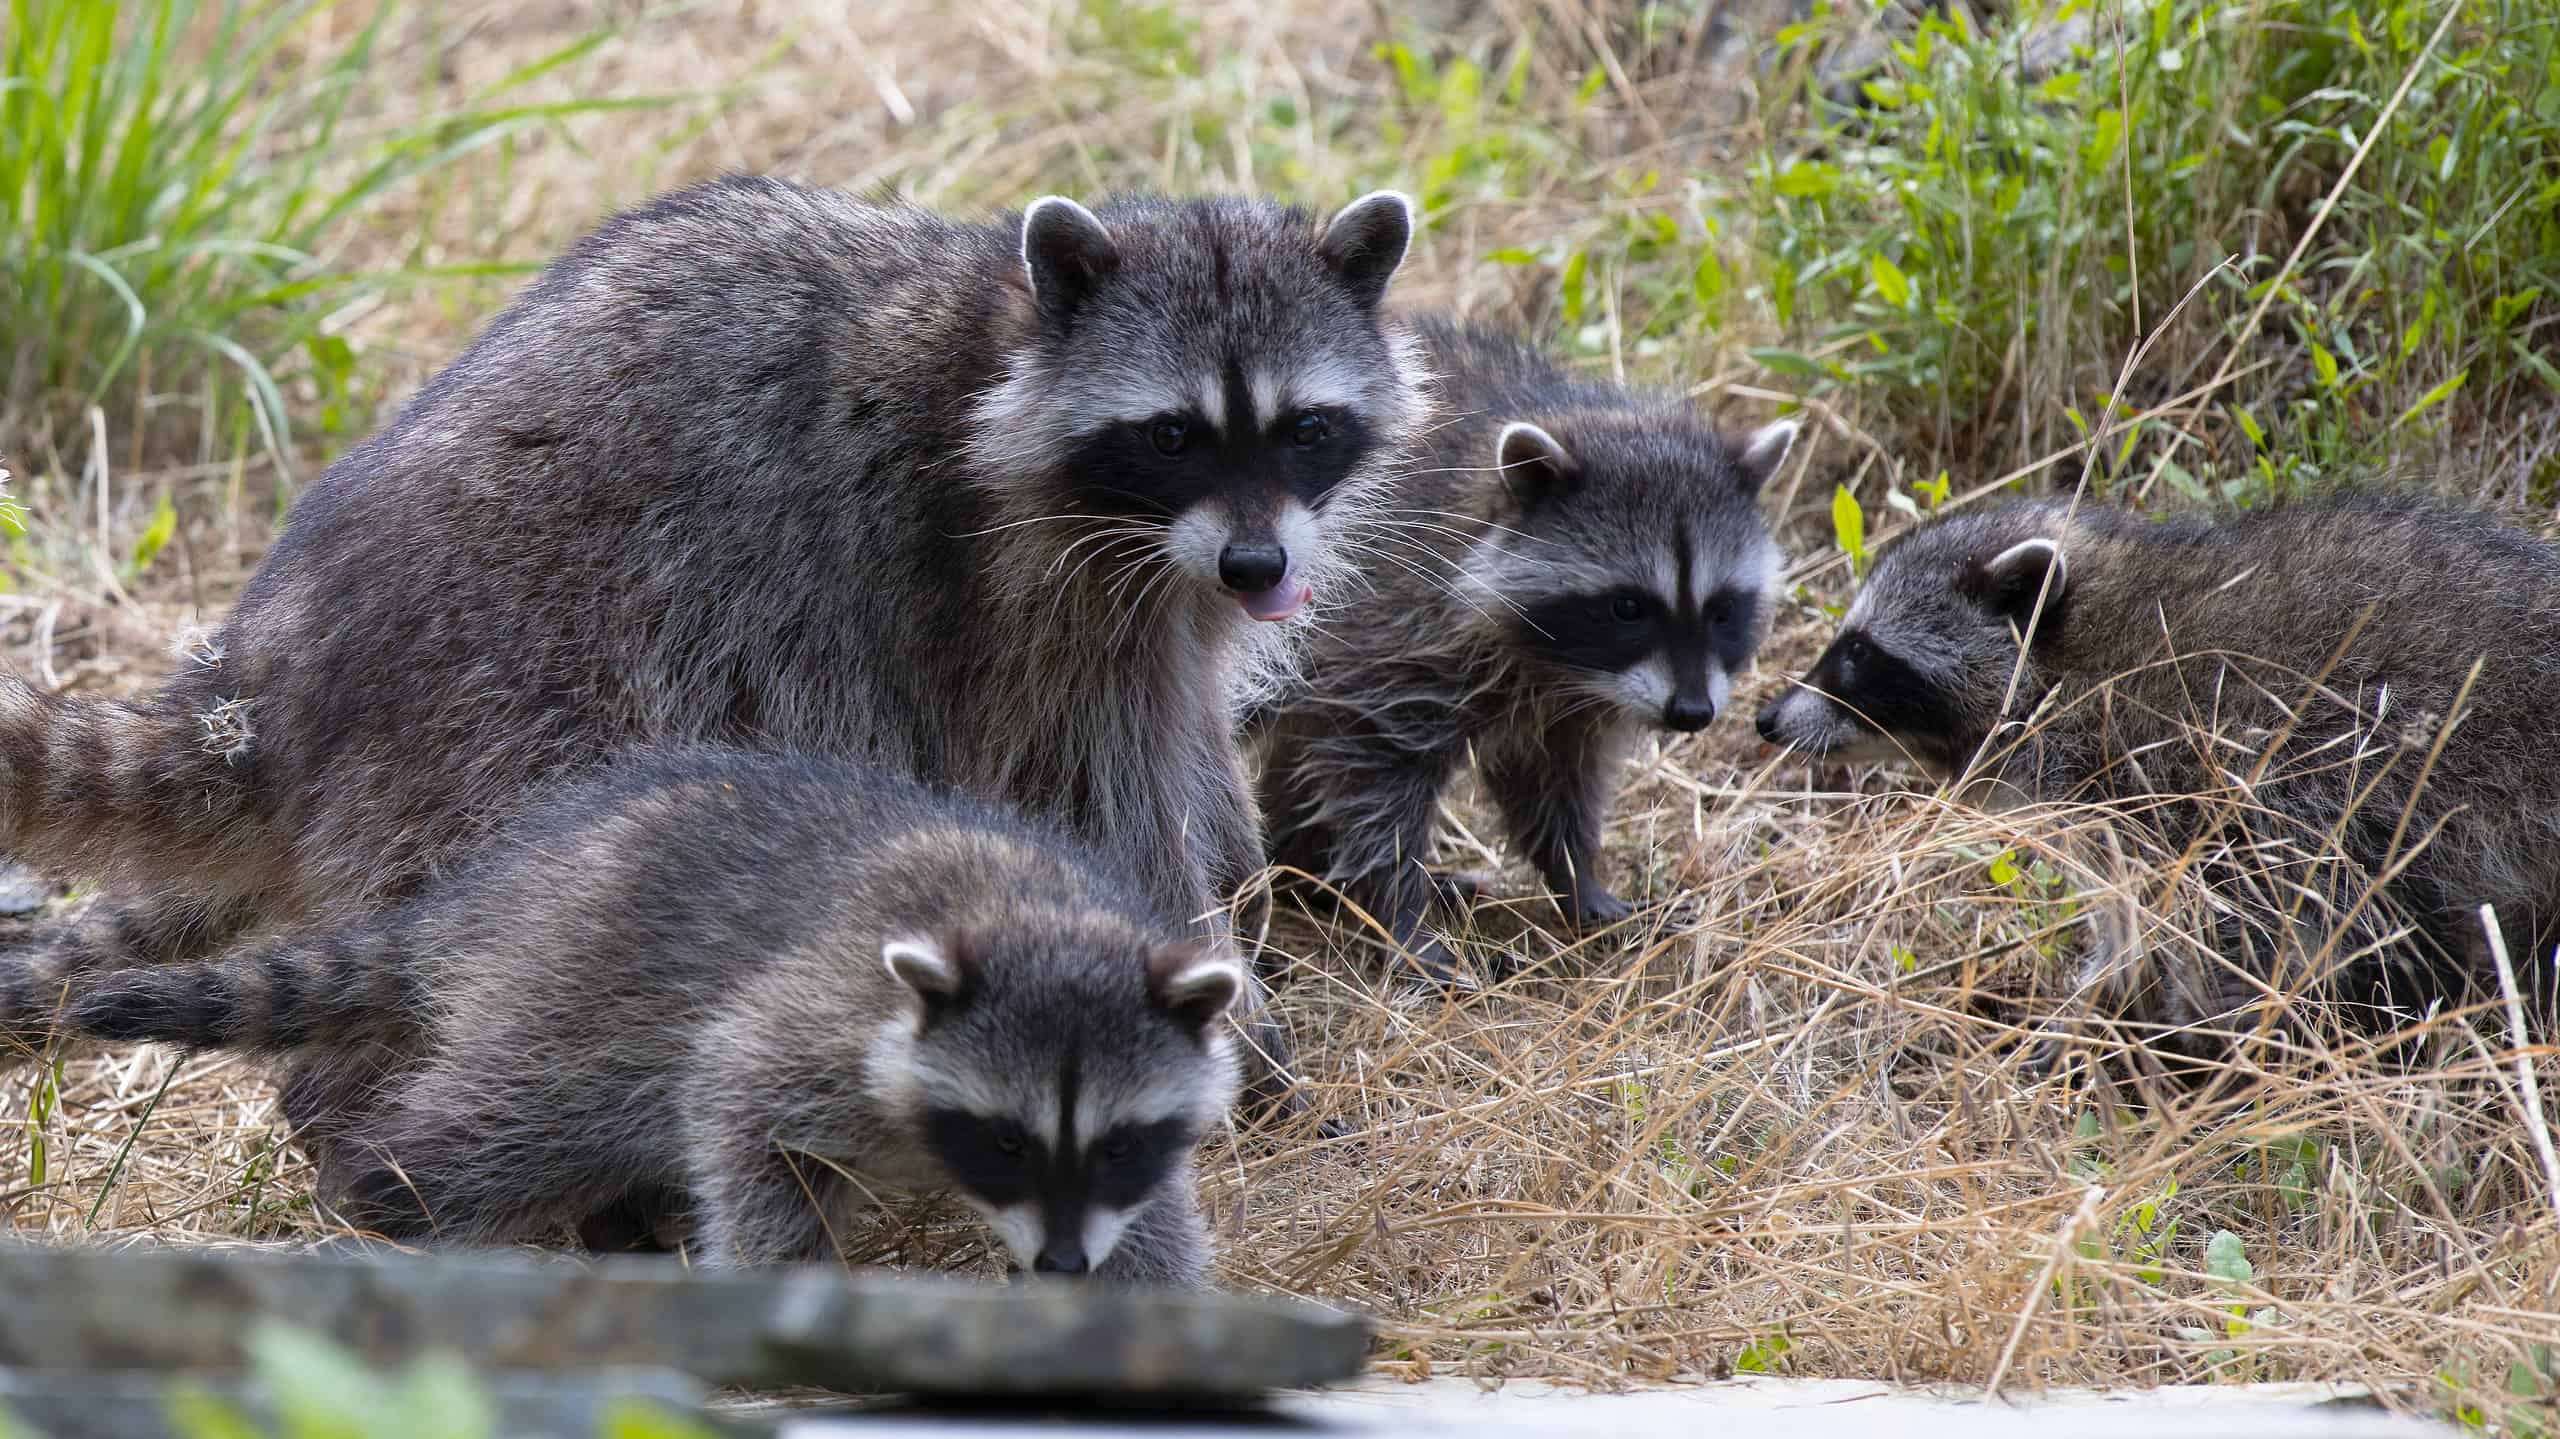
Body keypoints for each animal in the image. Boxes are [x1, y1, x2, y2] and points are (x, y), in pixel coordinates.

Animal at [0, 177, 1422, 1105]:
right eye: (1173, 432)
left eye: (1303, 427)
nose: (1259, 568)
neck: (1010, 336)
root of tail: (272, 663)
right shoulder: (1015, 594)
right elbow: (1103, 794)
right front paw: (1212, 978)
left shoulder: (1171, 597)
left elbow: (1185, 741)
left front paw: (1246, 885)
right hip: (495, 692)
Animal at [57, 748, 1244, 1281]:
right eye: (1003, 1138)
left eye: (1118, 1142)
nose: (1062, 1269)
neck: (1034, 919)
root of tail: (496, 887)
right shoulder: (821, 1017)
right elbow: (738, 1100)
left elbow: (1151, 1219)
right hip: (581, 987)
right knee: (516, 1123)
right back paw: (388, 1187)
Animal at [1252, 319, 1798, 979]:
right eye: (1628, 607)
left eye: (1722, 610)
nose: (1692, 714)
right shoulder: (1385, 628)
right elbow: (1371, 780)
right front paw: (1399, 913)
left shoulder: (1560, 705)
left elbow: (1556, 783)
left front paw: (1577, 880)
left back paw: (1302, 868)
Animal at [1757, 495, 2560, 1027]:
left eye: (1859, 654)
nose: (1765, 719)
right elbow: (2131, 913)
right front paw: (2107, 996)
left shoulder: (2199, 766)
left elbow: (2229, 920)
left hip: (2443, 762)